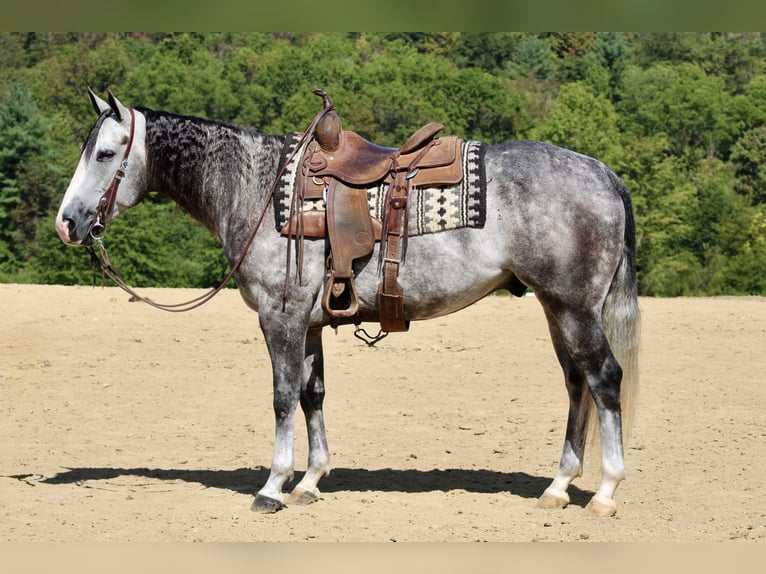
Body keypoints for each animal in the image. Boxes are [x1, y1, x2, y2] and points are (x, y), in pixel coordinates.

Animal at [55, 90, 640, 516]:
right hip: (556, 308)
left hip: (574, 308)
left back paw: (605, 491)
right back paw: (559, 486)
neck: (259, 190)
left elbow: (282, 397)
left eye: (105, 153)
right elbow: (312, 395)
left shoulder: (281, 317)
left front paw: (272, 486)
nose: (67, 223)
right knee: (576, 383)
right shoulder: (310, 324)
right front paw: (310, 481)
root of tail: (604, 173)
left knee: (604, 378)